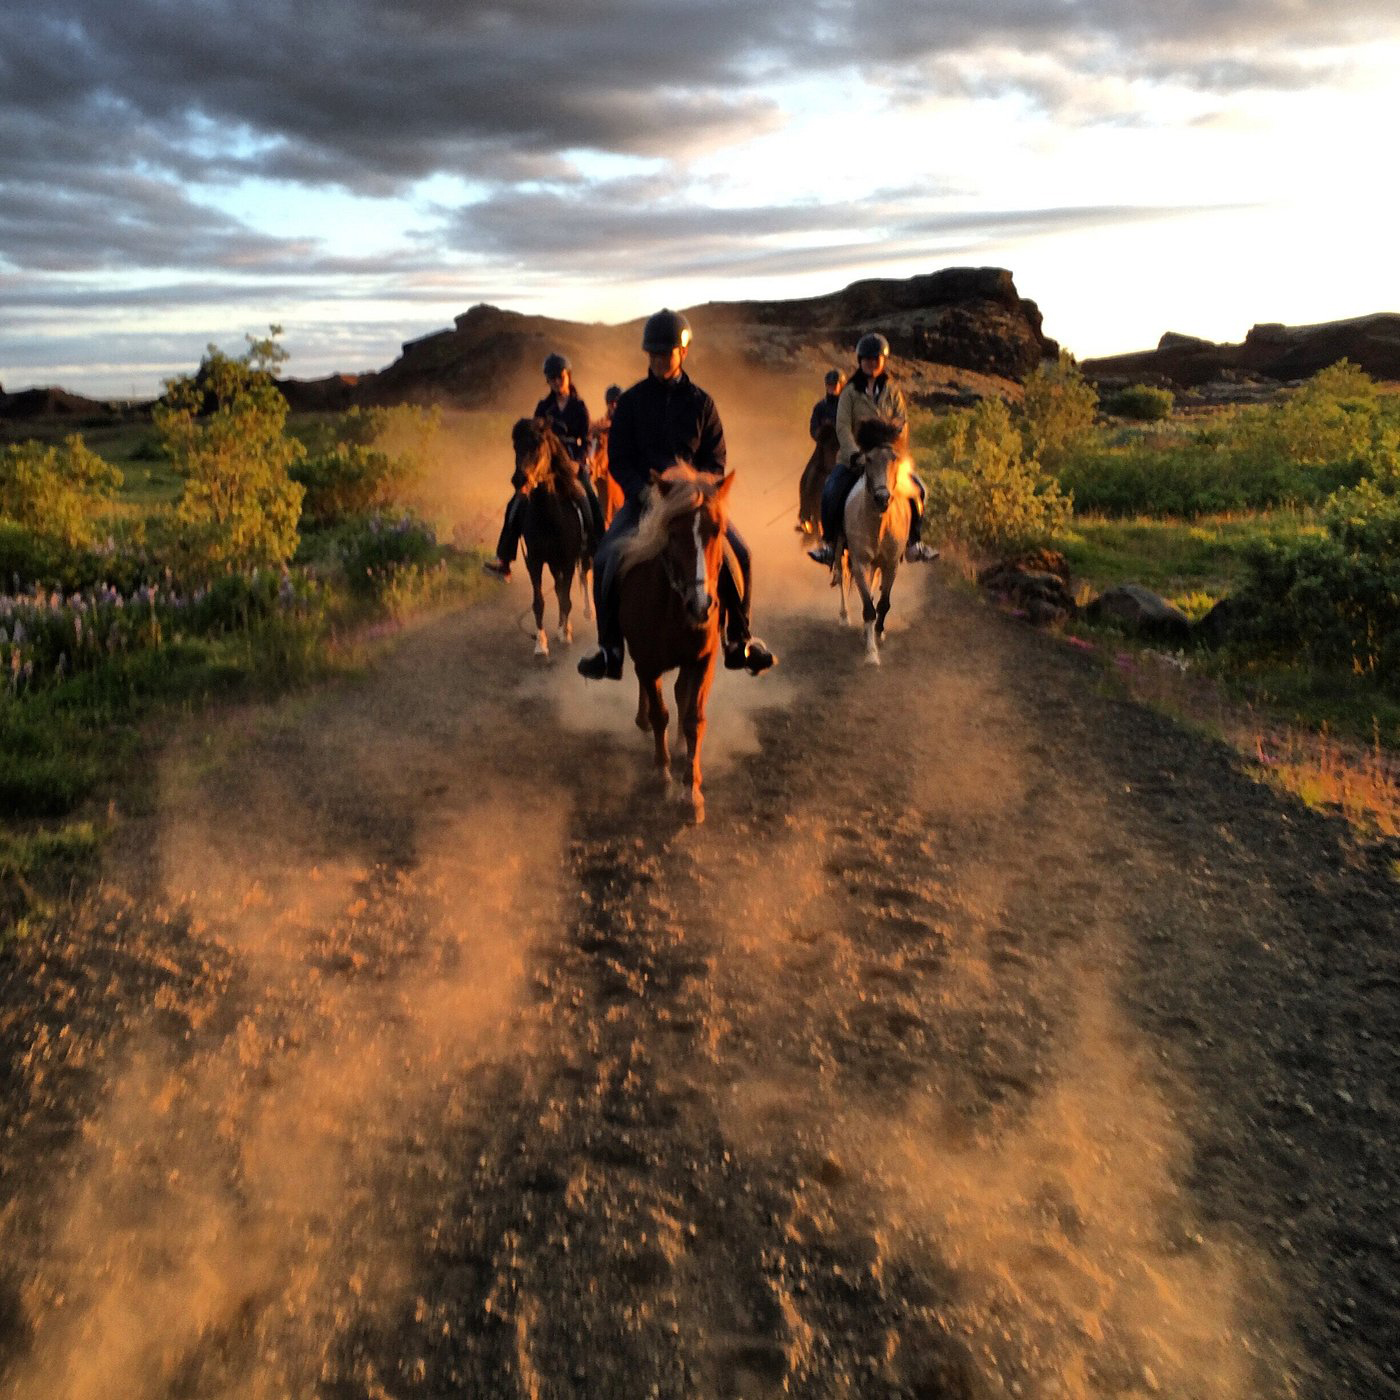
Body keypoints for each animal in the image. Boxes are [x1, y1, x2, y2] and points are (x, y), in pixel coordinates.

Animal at [512, 417, 593, 658]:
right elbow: (539, 602)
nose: (519, 479)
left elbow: (566, 599)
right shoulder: (535, 561)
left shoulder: (567, 561)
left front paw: (565, 635)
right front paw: (541, 644)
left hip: (580, 556)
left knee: (584, 576)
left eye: (538, 445)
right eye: (516, 446)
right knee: (558, 588)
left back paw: (586, 613)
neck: (549, 516)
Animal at [621, 464, 739, 823]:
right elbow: (660, 713)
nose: (701, 605)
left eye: (717, 530)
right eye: (673, 534)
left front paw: (692, 793)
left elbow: (692, 718)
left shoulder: (702, 660)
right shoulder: (647, 662)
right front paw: (663, 776)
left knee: (681, 696)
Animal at [834, 414, 912, 666]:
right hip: (842, 552)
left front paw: (878, 634)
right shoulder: (859, 562)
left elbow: (882, 604)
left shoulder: (891, 564)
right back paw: (845, 617)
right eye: (867, 460)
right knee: (841, 577)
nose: (882, 498)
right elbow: (868, 608)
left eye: (894, 459)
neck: (878, 524)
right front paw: (871, 653)